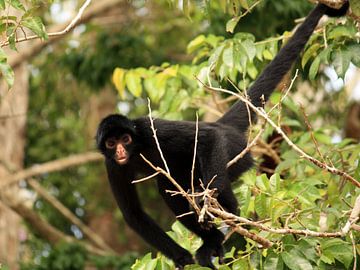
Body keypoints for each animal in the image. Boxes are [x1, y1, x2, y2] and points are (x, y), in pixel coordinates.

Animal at [95, 3, 348, 268]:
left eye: (126, 139)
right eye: (112, 143)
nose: (120, 150)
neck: (136, 150)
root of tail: (224, 125)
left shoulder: (147, 128)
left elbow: (207, 137)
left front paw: (221, 206)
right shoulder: (112, 165)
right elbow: (133, 215)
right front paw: (181, 256)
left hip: (234, 154)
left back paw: (227, 215)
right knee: (169, 188)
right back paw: (212, 240)